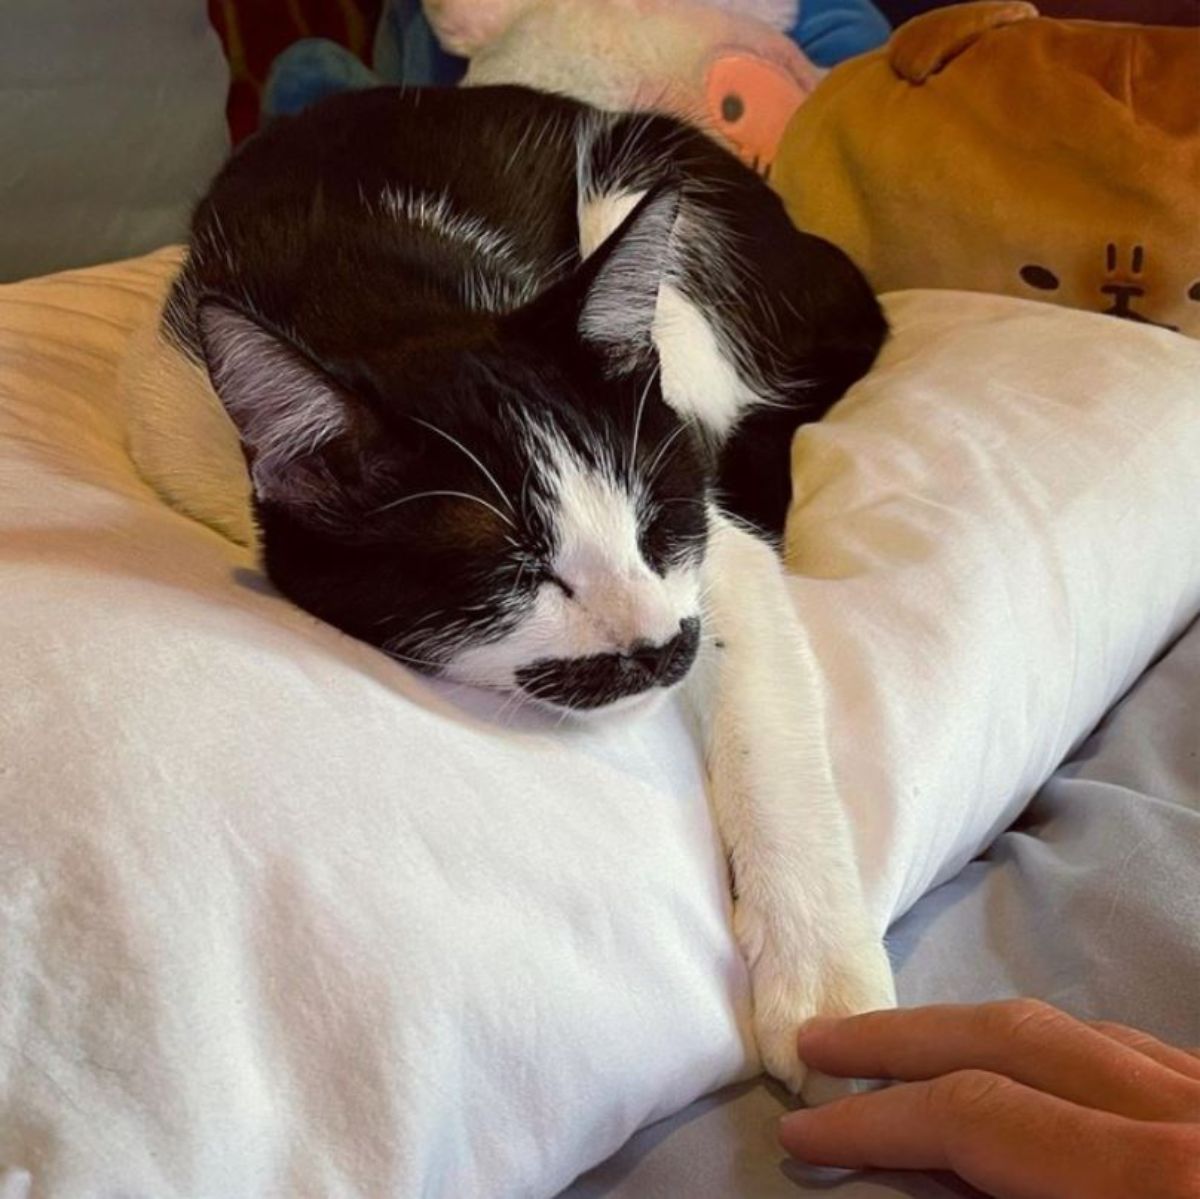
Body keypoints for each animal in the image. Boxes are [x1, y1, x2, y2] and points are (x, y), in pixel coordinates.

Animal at [133, 84, 902, 1099]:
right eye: (517, 569)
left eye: (657, 520)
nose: (662, 647)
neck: (369, 301)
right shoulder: (168, 413)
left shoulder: (712, 550)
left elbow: (761, 700)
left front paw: (822, 992)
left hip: (650, 203)